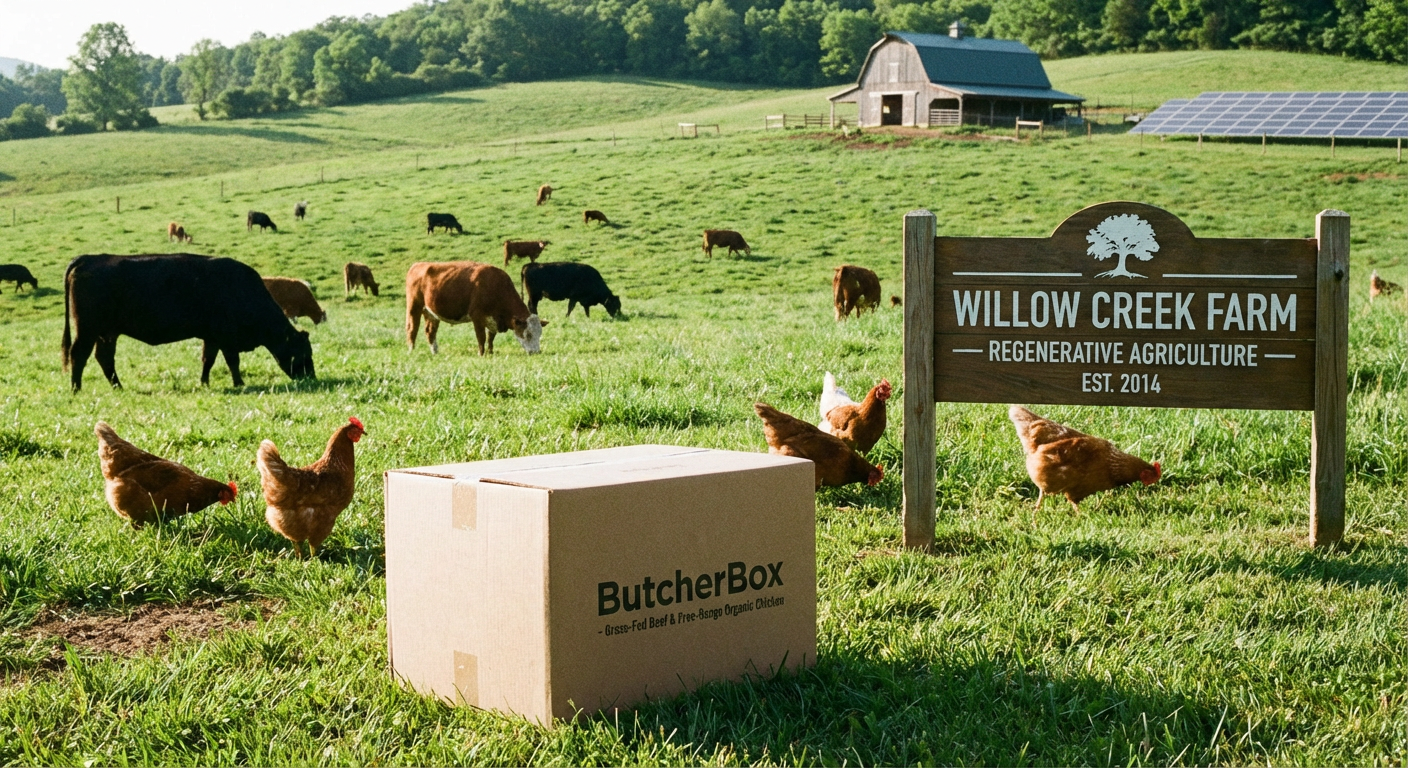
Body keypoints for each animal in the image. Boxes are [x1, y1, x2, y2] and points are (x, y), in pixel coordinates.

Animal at [62, 254, 314, 391]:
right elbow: (233, 361)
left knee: (104, 358)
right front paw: (239, 383)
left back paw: (118, 386)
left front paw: (204, 383)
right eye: (304, 353)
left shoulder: (211, 337)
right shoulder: (226, 337)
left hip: (107, 333)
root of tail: (90, 258)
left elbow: (208, 360)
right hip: (87, 329)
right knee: (79, 355)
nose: (311, 378)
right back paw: (76, 388)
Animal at [405, 261, 547, 356]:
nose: (536, 352)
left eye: (540, 333)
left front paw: (490, 352)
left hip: (431, 313)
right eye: (528, 334)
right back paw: (411, 350)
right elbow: (481, 337)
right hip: (414, 306)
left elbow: (490, 337)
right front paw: (481, 353)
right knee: (412, 328)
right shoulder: (477, 317)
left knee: (430, 331)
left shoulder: (493, 319)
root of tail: (418, 264)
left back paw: (435, 352)